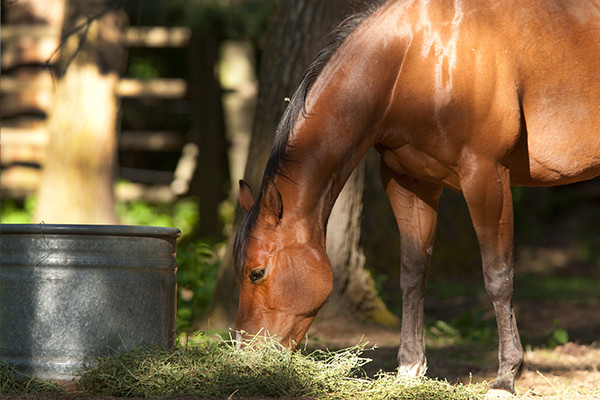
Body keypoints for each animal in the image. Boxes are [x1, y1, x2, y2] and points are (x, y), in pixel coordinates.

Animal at [232, 0, 600, 394]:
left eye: (256, 273)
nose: (245, 356)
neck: (414, 61)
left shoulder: (486, 176)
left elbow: (498, 276)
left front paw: (505, 376)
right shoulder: (409, 182)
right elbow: (413, 272)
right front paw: (410, 367)